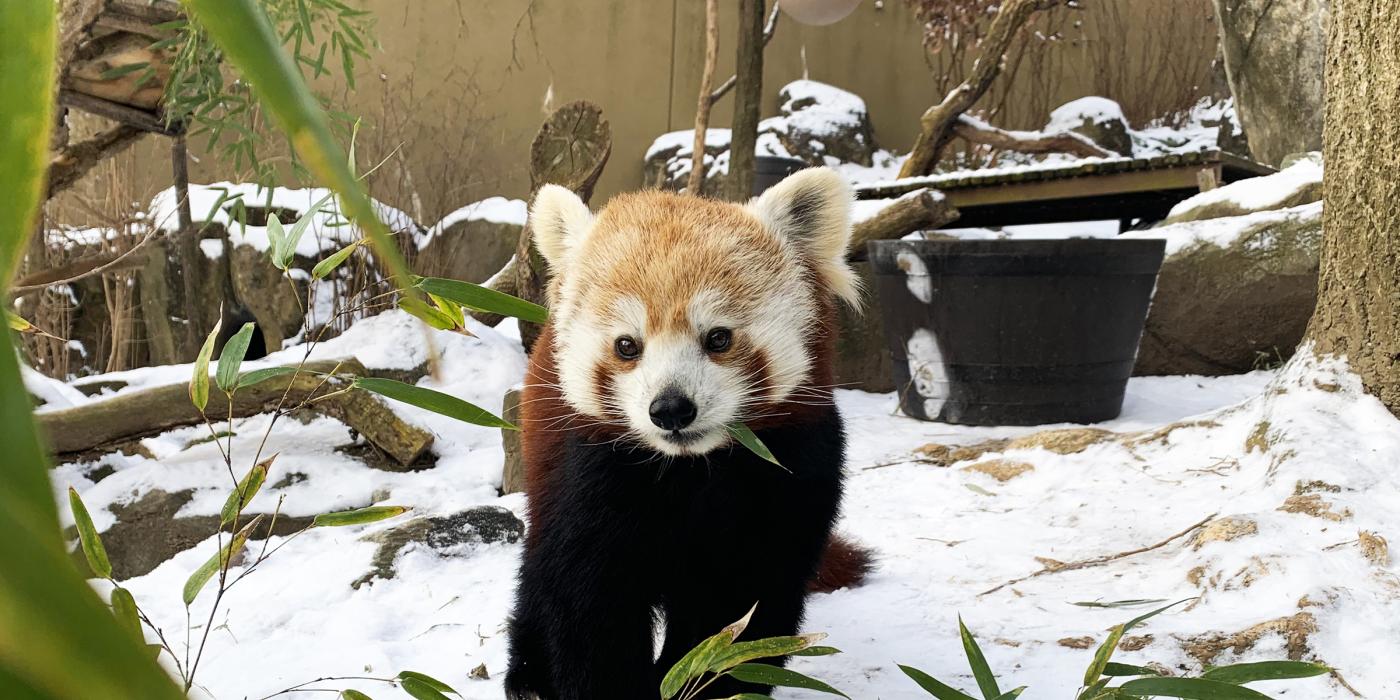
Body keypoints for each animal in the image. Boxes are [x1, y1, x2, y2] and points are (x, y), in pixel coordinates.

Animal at [504, 166, 873, 697]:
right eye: (627, 346)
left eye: (718, 338)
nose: (671, 409)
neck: (689, 470)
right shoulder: (590, 472)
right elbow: (589, 604)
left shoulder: (792, 472)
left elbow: (742, 618)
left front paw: (705, 684)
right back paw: (527, 675)